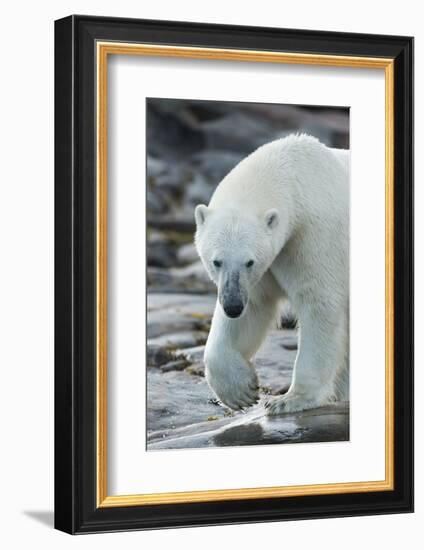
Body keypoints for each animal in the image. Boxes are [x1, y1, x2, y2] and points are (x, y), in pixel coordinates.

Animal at [194, 136, 350, 416]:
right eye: (216, 261)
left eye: (249, 261)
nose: (232, 306)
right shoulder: (266, 269)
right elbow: (255, 307)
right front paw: (241, 391)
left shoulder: (315, 238)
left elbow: (319, 302)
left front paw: (289, 399)